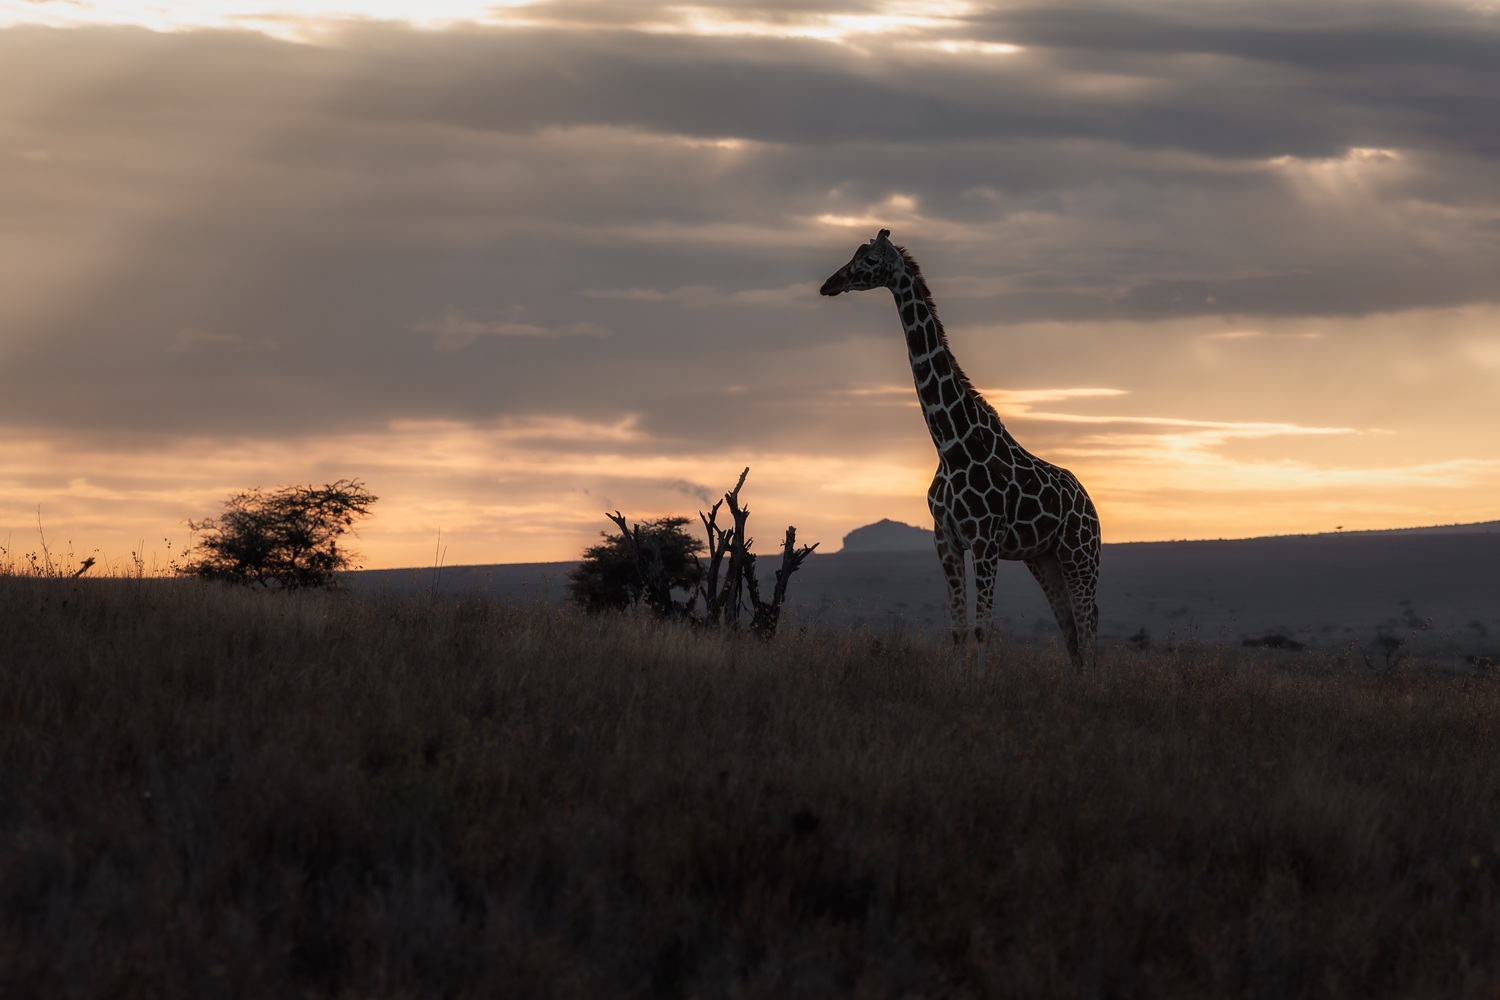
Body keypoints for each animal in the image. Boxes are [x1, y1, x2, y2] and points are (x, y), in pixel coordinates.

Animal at [820, 229, 1100, 673]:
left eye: (869, 261)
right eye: (855, 254)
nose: (830, 283)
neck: (950, 444)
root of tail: (1091, 506)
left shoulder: (985, 541)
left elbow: (983, 629)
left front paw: (980, 683)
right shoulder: (946, 540)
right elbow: (957, 629)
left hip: (1080, 554)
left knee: (1089, 633)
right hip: (1045, 559)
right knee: (1072, 635)